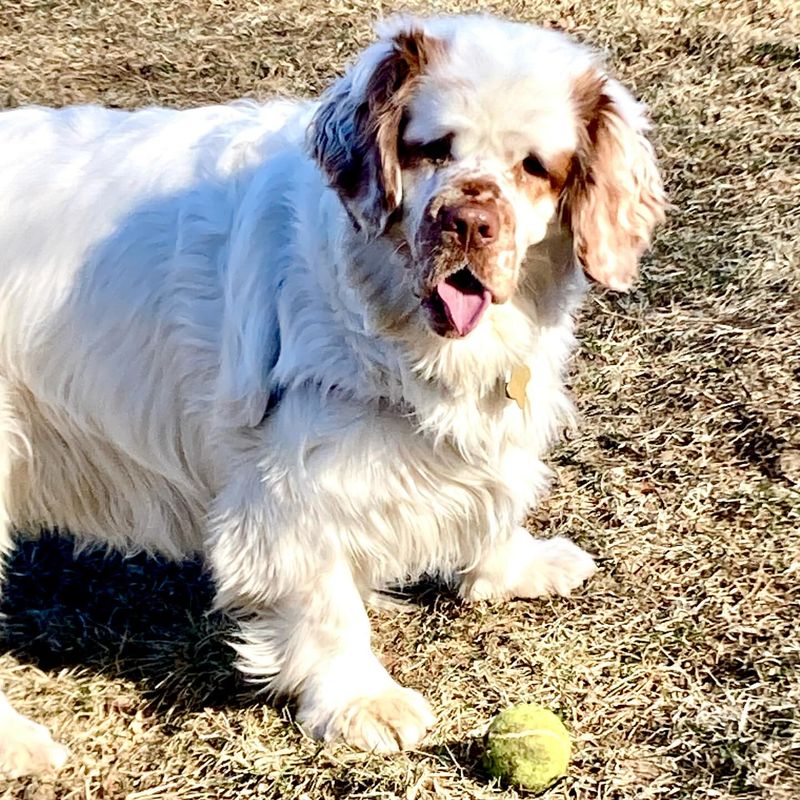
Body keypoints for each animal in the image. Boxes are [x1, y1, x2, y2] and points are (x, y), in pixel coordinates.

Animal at [0, 12, 664, 776]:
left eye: (534, 166)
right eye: (432, 148)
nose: (467, 223)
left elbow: (490, 498)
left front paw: (520, 564)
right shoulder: (294, 477)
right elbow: (326, 603)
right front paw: (362, 702)